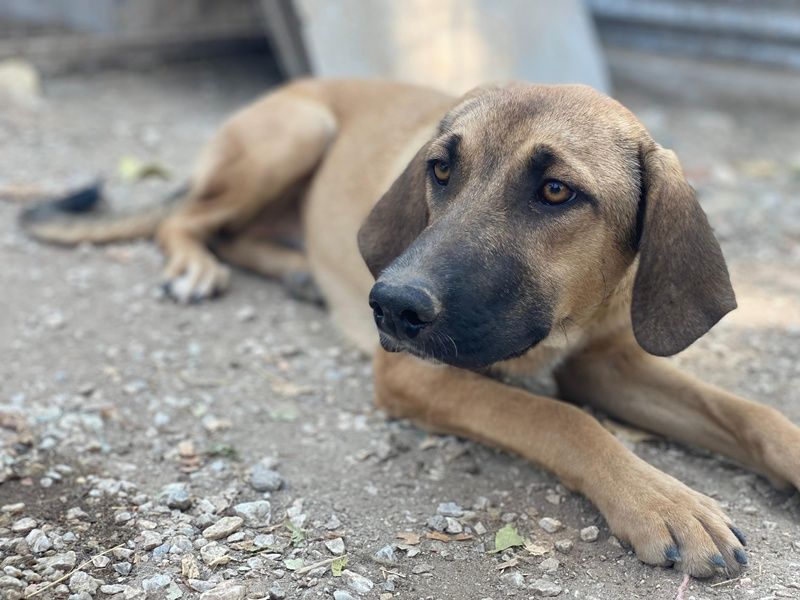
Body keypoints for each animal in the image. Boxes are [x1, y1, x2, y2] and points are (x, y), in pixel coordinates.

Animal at [22, 79, 800, 578]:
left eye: (556, 192)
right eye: (440, 171)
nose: (390, 305)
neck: (566, 319)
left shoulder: (607, 360)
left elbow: (751, 413)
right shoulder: (416, 370)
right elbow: (564, 420)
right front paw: (665, 500)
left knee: (237, 232)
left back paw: (297, 271)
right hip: (297, 132)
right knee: (184, 221)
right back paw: (194, 267)